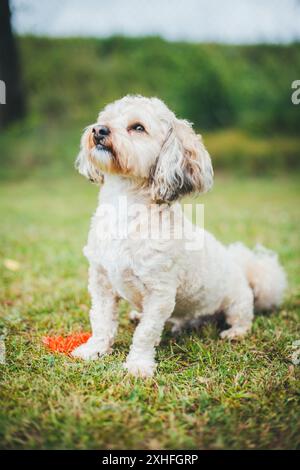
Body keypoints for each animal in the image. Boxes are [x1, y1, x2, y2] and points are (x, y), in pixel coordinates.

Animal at [71, 95, 288, 378]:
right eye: (105, 119)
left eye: (138, 127)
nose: (98, 130)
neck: (126, 210)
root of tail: (243, 268)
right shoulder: (101, 282)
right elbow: (102, 321)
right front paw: (94, 349)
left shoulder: (160, 292)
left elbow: (146, 333)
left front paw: (138, 364)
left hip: (236, 301)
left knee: (243, 318)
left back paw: (234, 332)